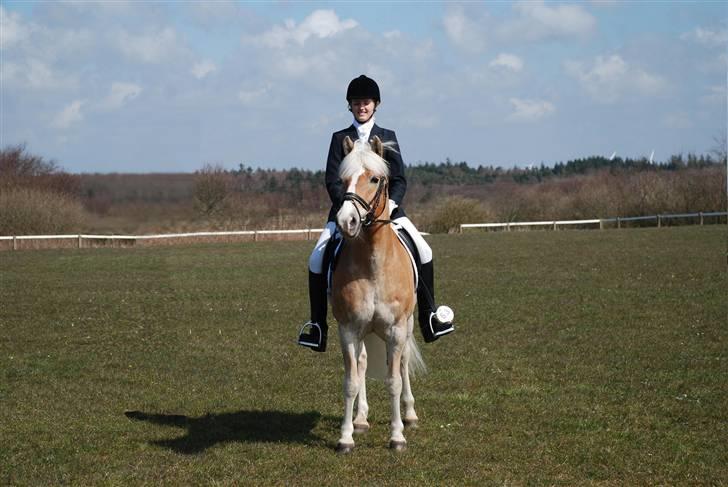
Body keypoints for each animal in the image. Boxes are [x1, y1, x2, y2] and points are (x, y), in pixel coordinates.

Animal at [332, 134, 426, 454]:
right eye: (342, 180)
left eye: (375, 179)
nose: (346, 222)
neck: (373, 264)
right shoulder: (348, 329)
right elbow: (350, 381)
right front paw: (346, 437)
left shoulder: (396, 330)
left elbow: (393, 380)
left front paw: (397, 436)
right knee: (361, 363)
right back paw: (360, 420)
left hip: (406, 327)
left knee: (403, 363)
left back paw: (410, 414)